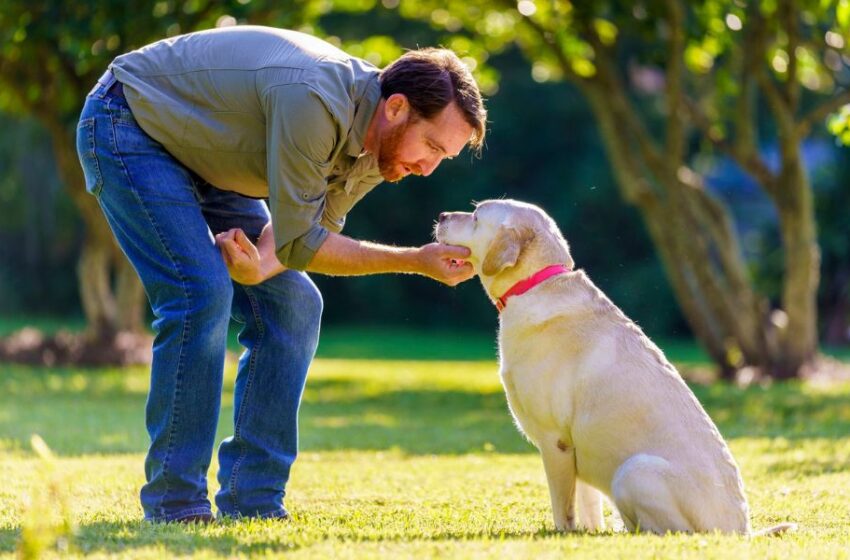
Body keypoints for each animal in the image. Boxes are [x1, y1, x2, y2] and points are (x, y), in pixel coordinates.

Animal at [434, 200, 792, 532]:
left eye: (476, 216)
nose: (441, 216)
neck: (535, 283)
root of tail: (740, 530)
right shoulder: (575, 448)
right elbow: (587, 508)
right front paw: (588, 535)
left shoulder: (555, 442)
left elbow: (563, 508)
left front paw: (560, 535)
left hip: (633, 471)